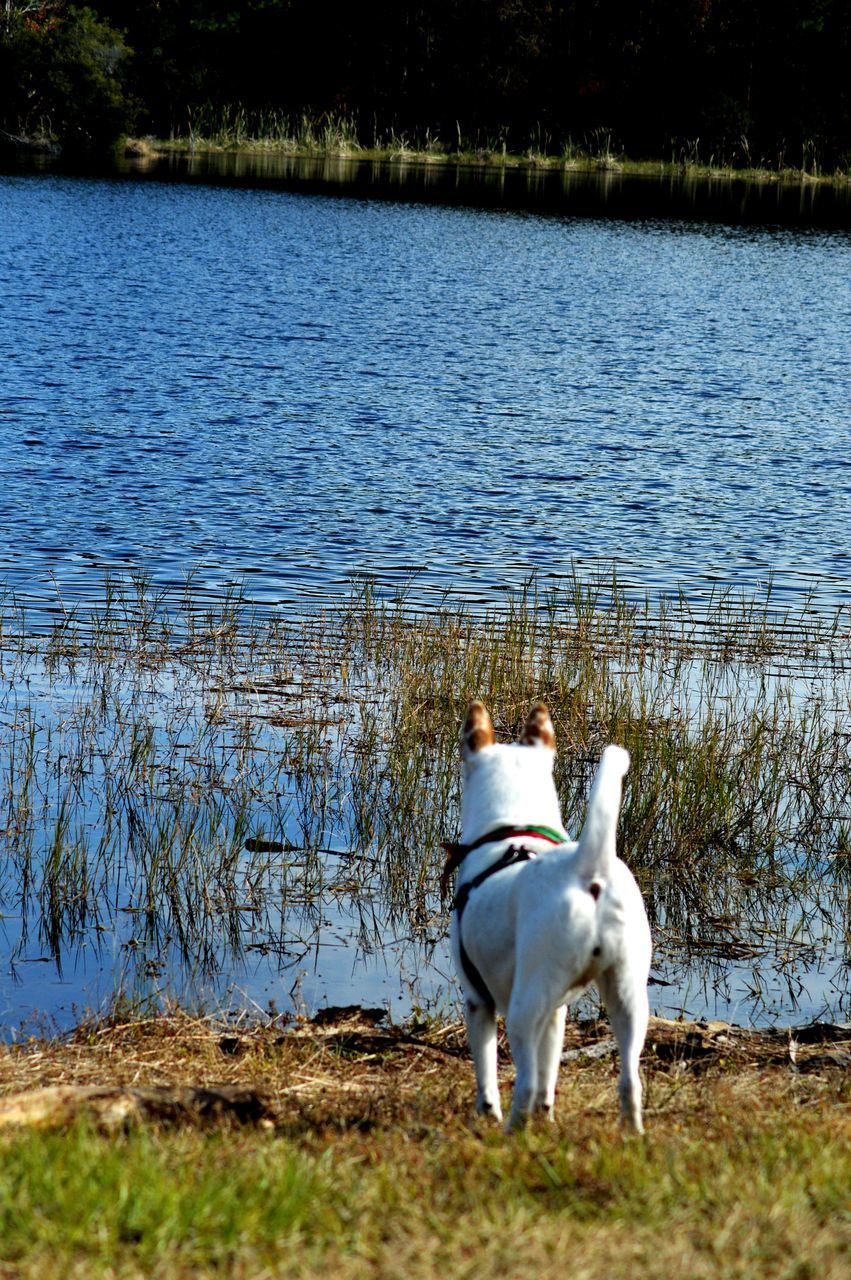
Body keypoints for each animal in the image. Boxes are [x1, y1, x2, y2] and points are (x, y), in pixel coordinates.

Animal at [445, 701, 650, 1131]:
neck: (513, 828)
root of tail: (587, 868)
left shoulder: (478, 1002)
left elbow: (487, 1072)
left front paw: (487, 1114)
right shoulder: (556, 1013)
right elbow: (548, 1076)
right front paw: (548, 1118)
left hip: (523, 1008)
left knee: (521, 1083)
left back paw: (511, 1133)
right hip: (627, 995)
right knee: (630, 1080)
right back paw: (631, 1134)